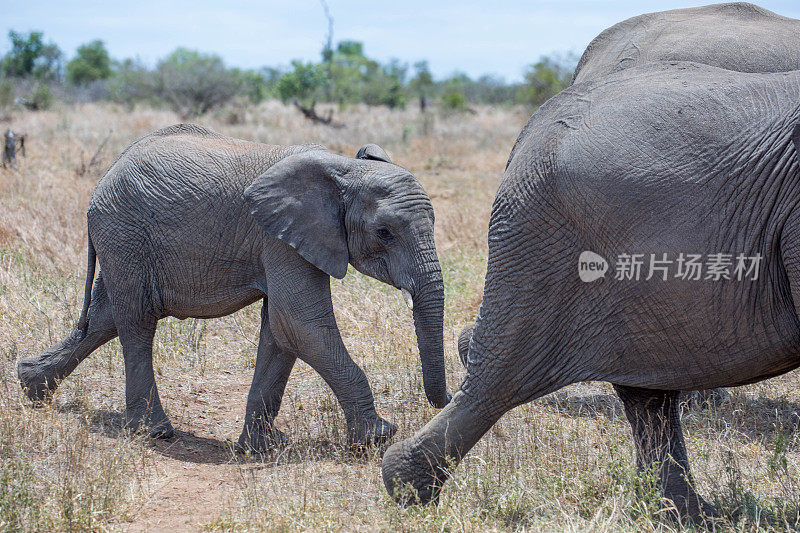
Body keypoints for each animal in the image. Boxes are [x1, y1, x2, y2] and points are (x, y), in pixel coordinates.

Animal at [17, 123, 450, 448]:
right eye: (384, 233)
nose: (445, 401)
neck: (345, 169)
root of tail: (107, 171)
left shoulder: (284, 239)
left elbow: (280, 331)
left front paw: (261, 447)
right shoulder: (279, 239)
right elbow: (302, 325)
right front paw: (378, 438)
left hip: (122, 240)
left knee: (103, 318)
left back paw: (30, 388)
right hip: (124, 232)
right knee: (137, 322)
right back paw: (156, 433)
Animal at [382, 61, 800, 520]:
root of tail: (532, 127)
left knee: (645, 392)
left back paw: (688, 515)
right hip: (545, 240)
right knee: (498, 377)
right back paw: (406, 487)